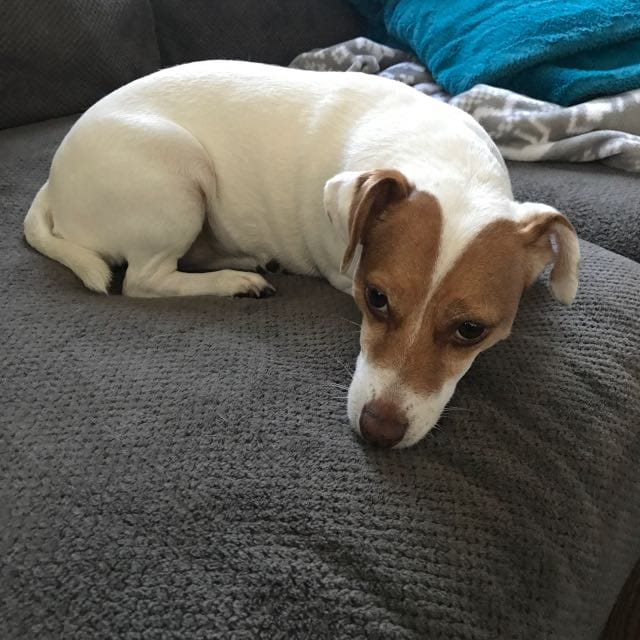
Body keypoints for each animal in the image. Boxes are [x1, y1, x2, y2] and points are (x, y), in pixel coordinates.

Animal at [24, 60, 580, 448]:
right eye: (374, 297)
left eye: (471, 330)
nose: (378, 431)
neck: (443, 162)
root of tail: (52, 185)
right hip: (176, 171)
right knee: (145, 278)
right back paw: (234, 281)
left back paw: (243, 260)